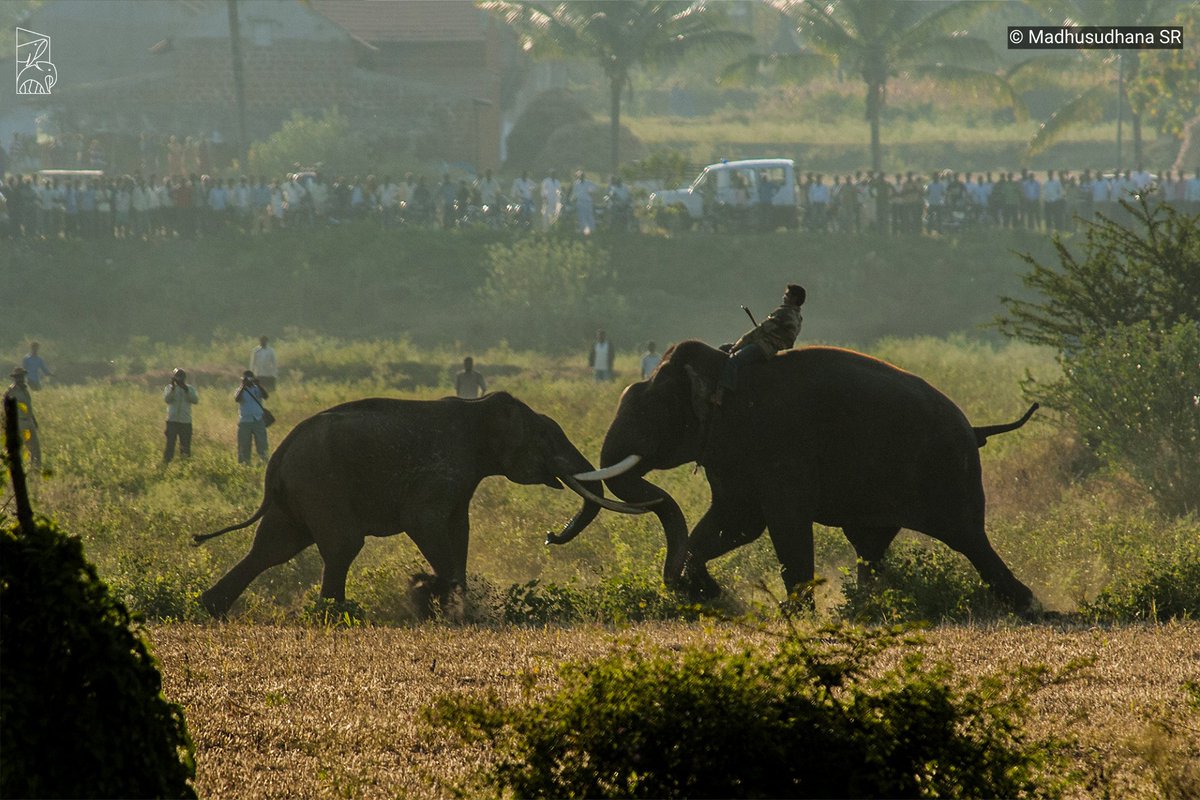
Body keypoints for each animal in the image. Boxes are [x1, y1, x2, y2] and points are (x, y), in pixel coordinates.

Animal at [193, 392, 649, 618]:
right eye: (546, 438)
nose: (551, 536)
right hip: (320, 485)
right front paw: (435, 597)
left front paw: (455, 605)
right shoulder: (437, 474)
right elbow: (425, 523)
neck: (478, 408)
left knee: (272, 548)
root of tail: (279, 454)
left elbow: (459, 530)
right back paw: (338, 613)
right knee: (341, 546)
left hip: (298, 494)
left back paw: (211, 608)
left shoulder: (462, 480)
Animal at [548, 340, 1040, 613]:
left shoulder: (779, 446)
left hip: (948, 472)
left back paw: (1029, 606)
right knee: (871, 546)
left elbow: (782, 526)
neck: (718, 371)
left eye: (651, 416)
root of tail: (974, 429)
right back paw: (864, 607)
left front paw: (793, 613)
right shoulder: (732, 457)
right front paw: (707, 590)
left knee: (968, 539)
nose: (551, 536)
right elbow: (734, 523)